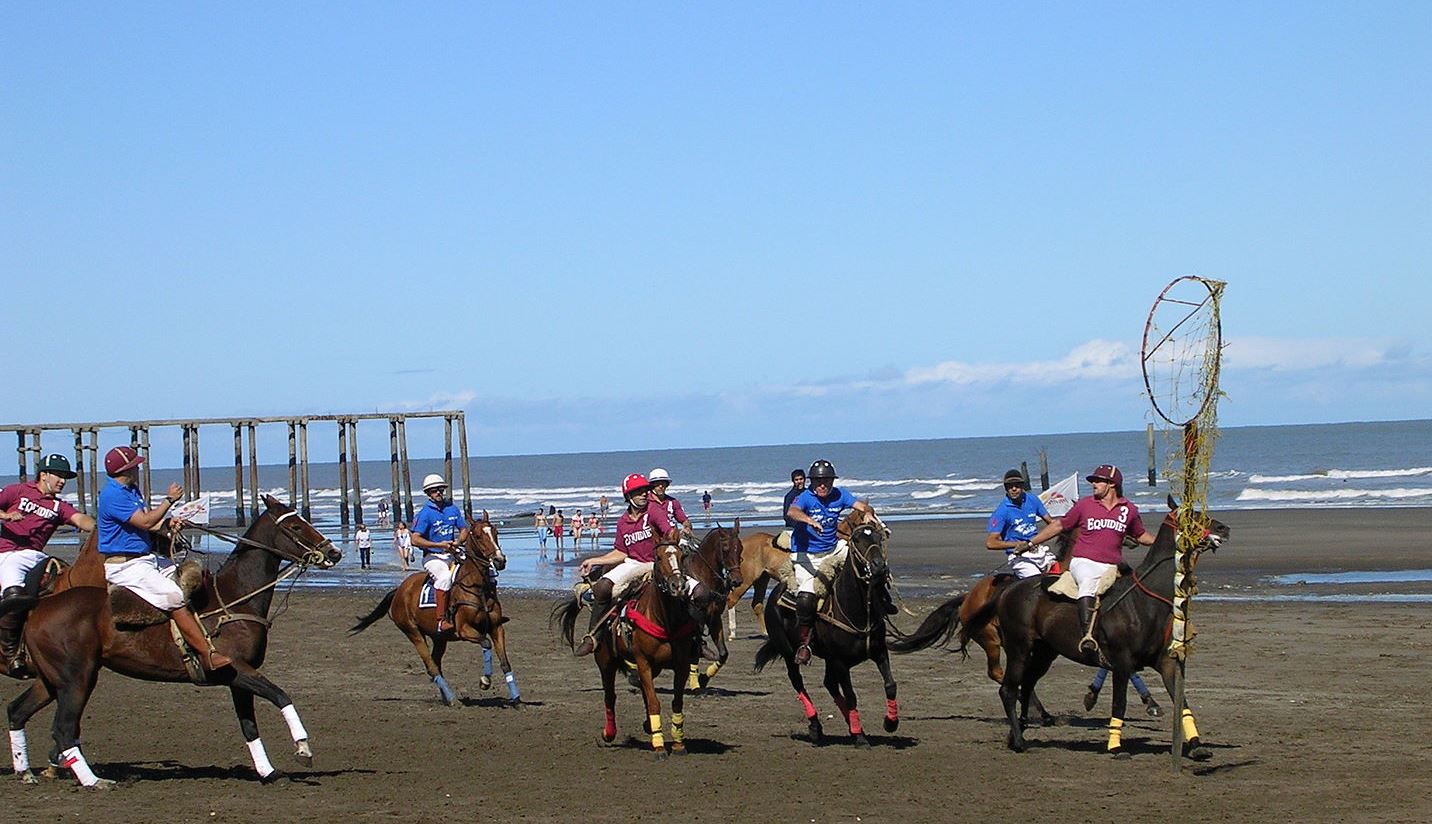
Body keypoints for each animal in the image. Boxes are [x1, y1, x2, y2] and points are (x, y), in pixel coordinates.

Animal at [6, 495, 340, 785]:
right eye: (295, 526)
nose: (333, 553)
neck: (234, 598)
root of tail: (38, 606)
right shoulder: (236, 669)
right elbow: (281, 695)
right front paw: (303, 749)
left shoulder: (238, 678)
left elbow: (249, 726)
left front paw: (268, 772)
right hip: (77, 678)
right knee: (63, 728)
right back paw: (94, 781)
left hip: (53, 679)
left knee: (17, 711)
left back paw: (27, 772)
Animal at [345, 513, 515, 705]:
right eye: (478, 536)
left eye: (495, 532)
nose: (500, 560)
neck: (477, 586)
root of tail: (399, 591)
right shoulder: (465, 630)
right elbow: (486, 643)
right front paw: (485, 681)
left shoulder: (496, 627)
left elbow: (505, 662)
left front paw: (516, 698)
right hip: (413, 632)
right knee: (431, 665)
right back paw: (451, 698)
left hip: (439, 637)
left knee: (435, 664)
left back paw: (446, 697)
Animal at [552, 533, 698, 756]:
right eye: (658, 558)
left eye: (682, 556)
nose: (678, 586)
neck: (664, 620)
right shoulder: (643, 661)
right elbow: (654, 702)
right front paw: (659, 746)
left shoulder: (680, 664)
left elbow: (676, 701)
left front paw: (678, 743)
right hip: (605, 662)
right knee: (610, 697)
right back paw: (609, 733)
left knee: (643, 692)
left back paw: (648, 725)